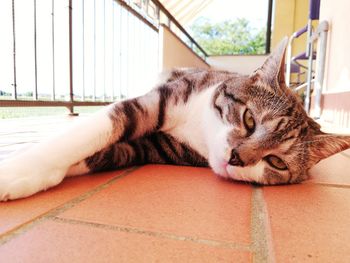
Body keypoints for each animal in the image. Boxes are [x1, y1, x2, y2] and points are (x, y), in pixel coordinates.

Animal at [0, 38, 350, 201]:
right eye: (250, 119)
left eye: (276, 162)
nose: (237, 158)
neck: (199, 126)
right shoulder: (156, 102)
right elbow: (89, 131)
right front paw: (19, 166)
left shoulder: (154, 147)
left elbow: (103, 152)